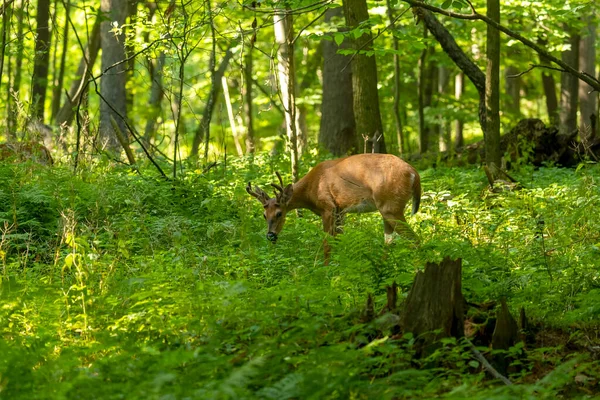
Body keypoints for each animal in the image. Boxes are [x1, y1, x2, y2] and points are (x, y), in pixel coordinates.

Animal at [245, 152, 422, 262]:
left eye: (279, 213)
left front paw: (326, 269)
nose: (270, 236)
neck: (311, 190)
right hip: (387, 209)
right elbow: (340, 240)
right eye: (264, 215)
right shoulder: (340, 211)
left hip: (390, 205)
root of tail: (414, 173)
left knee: (415, 239)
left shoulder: (328, 207)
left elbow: (327, 242)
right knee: (389, 242)